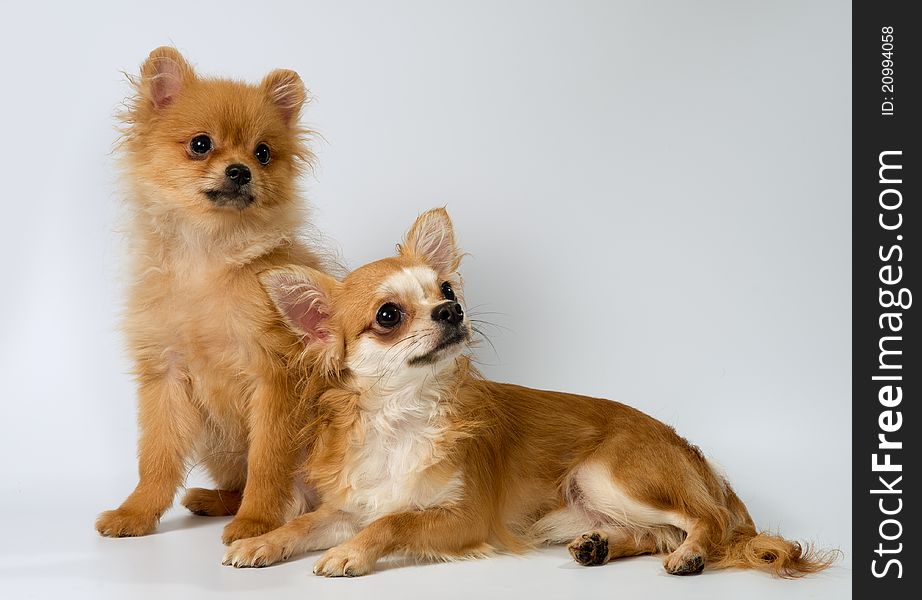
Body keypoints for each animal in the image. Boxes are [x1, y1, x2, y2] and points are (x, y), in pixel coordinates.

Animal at [96, 47, 328, 544]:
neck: (209, 255)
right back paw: (214, 500)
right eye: (201, 144)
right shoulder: (165, 376)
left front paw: (256, 522)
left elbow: (267, 464)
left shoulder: (274, 378)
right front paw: (137, 513)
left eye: (263, 153)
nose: (240, 170)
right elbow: (156, 459)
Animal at [223, 207, 832, 576]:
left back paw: (690, 554)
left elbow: (396, 522)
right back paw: (602, 546)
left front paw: (349, 552)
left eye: (446, 291)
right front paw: (260, 542)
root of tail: (693, 455)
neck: (402, 416)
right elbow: (305, 522)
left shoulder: (464, 517)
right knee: (656, 532)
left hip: (607, 472)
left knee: (707, 522)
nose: (452, 311)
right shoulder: (350, 505)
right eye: (388, 315)